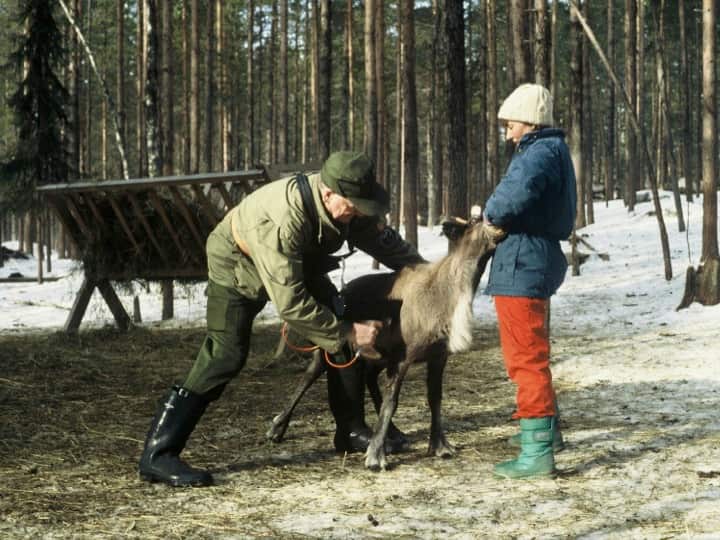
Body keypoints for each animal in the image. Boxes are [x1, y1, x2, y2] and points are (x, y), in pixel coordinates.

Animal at [266, 207, 506, 470]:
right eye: (474, 220)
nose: (499, 224)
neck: (447, 298)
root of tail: (342, 291)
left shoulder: (438, 355)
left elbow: (435, 399)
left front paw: (440, 446)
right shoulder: (403, 355)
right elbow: (393, 401)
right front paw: (375, 457)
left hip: (377, 355)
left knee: (368, 378)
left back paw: (394, 432)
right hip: (338, 346)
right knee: (311, 373)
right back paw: (277, 427)